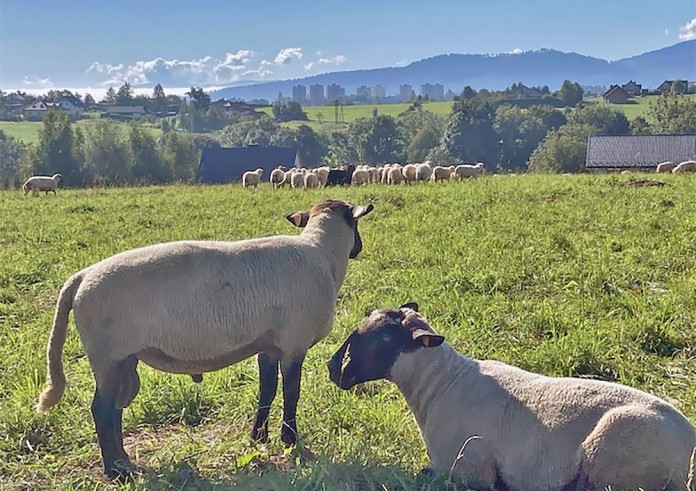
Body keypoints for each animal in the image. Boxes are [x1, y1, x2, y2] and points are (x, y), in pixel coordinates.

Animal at [36, 199, 376, 480]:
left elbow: (267, 390)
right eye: (358, 226)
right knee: (102, 411)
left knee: (114, 411)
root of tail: (81, 278)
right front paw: (291, 442)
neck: (322, 254)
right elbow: (292, 393)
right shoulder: (295, 342)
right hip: (107, 355)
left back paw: (125, 463)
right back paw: (117, 472)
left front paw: (258, 437)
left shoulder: (269, 344)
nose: (359, 248)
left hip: (120, 359)